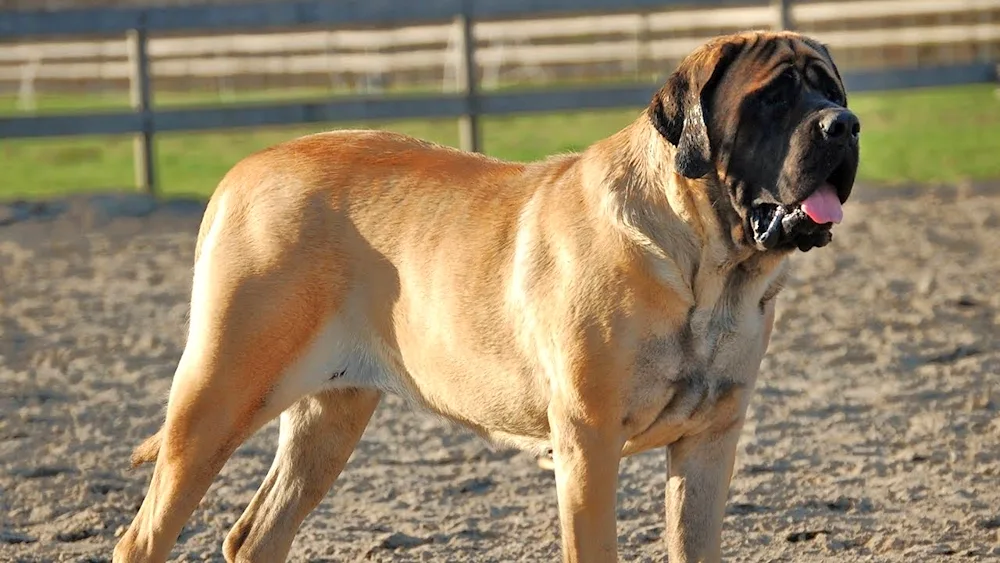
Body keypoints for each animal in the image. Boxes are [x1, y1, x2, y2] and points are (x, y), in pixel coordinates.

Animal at [111, 29, 860, 563]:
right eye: (771, 98)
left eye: (833, 91)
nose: (844, 125)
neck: (710, 271)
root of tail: (242, 169)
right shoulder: (588, 440)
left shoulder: (709, 441)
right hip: (217, 395)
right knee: (144, 536)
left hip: (330, 416)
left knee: (255, 536)